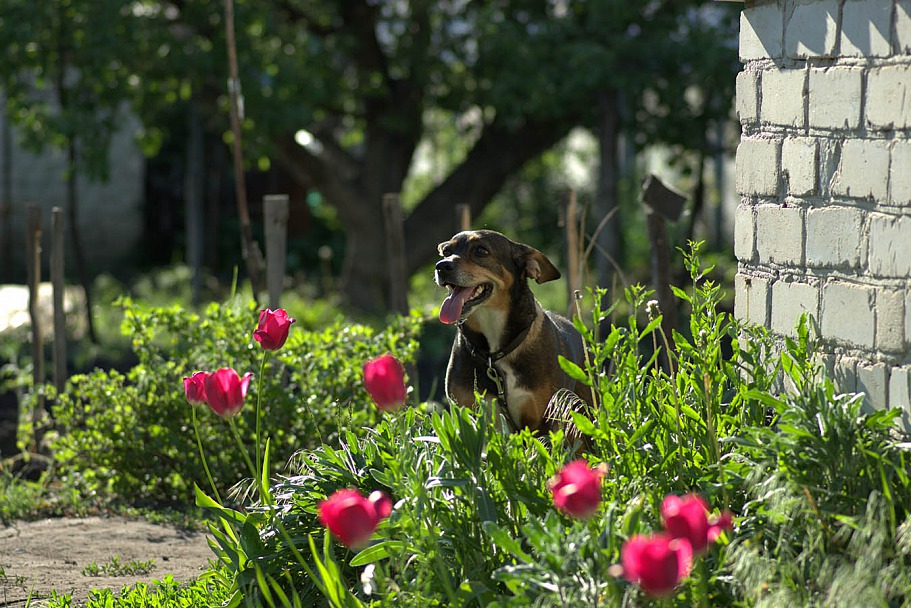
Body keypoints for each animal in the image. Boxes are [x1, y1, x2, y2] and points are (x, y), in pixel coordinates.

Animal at [434, 229, 592, 432]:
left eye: (481, 251)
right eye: (446, 251)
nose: (441, 266)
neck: (494, 355)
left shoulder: (542, 421)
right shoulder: (469, 415)